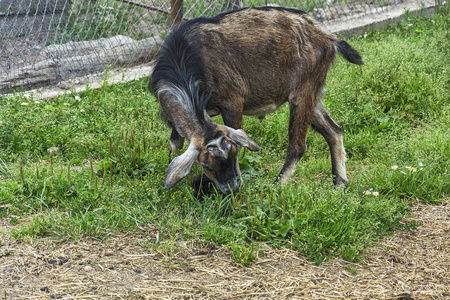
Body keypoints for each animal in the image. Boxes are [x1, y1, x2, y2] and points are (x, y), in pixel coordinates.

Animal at [150, 7, 362, 196]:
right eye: (205, 164)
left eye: (233, 155)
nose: (232, 189)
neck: (184, 59)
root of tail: (328, 37)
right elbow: (175, 143)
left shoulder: (232, 103)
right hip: (313, 95)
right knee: (334, 131)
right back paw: (339, 184)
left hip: (302, 92)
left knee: (298, 145)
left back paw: (276, 186)